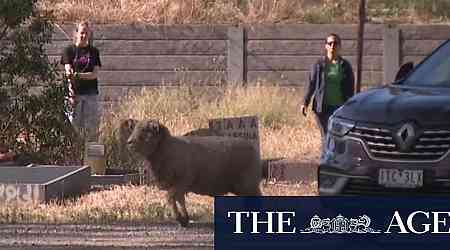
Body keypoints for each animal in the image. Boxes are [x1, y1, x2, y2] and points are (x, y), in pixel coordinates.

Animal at [125, 119, 262, 227]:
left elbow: (170, 198)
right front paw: (184, 219)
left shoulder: (183, 181)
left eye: (145, 130)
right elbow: (179, 199)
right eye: (134, 128)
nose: (129, 142)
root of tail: (252, 147)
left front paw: (179, 218)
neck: (167, 148)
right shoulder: (177, 184)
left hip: (248, 184)